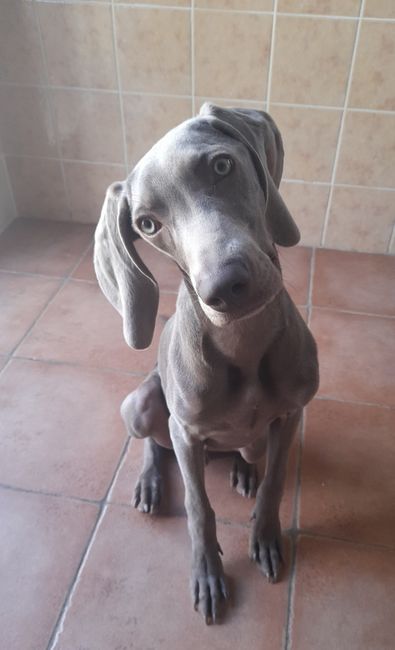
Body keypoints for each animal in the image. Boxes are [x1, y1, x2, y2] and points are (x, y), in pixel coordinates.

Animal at [94, 104, 320, 624]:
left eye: (221, 165)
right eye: (147, 224)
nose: (225, 287)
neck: (243, 341)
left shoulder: (293, 413)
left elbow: (275, 483)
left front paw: (265, 536)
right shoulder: (187, 432)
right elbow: (199, 509)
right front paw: (208, 573)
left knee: (249, 452)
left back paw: (242, 469)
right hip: (142, 405)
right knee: (153, 443)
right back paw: (150, 483)